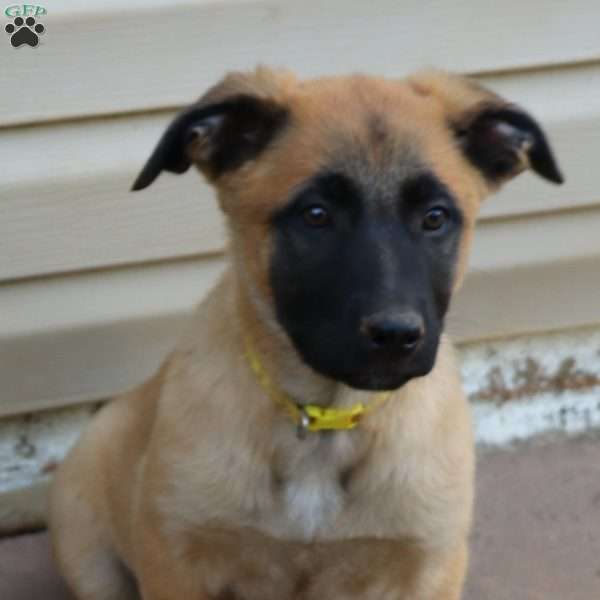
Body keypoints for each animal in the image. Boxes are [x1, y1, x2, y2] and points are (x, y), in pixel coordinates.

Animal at [50, 68, 564, 596]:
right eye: (316, 214)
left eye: (435, 217)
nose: (396, 336)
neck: (325, 421)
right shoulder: (175, 560)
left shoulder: (430, 565)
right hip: (88, 552)